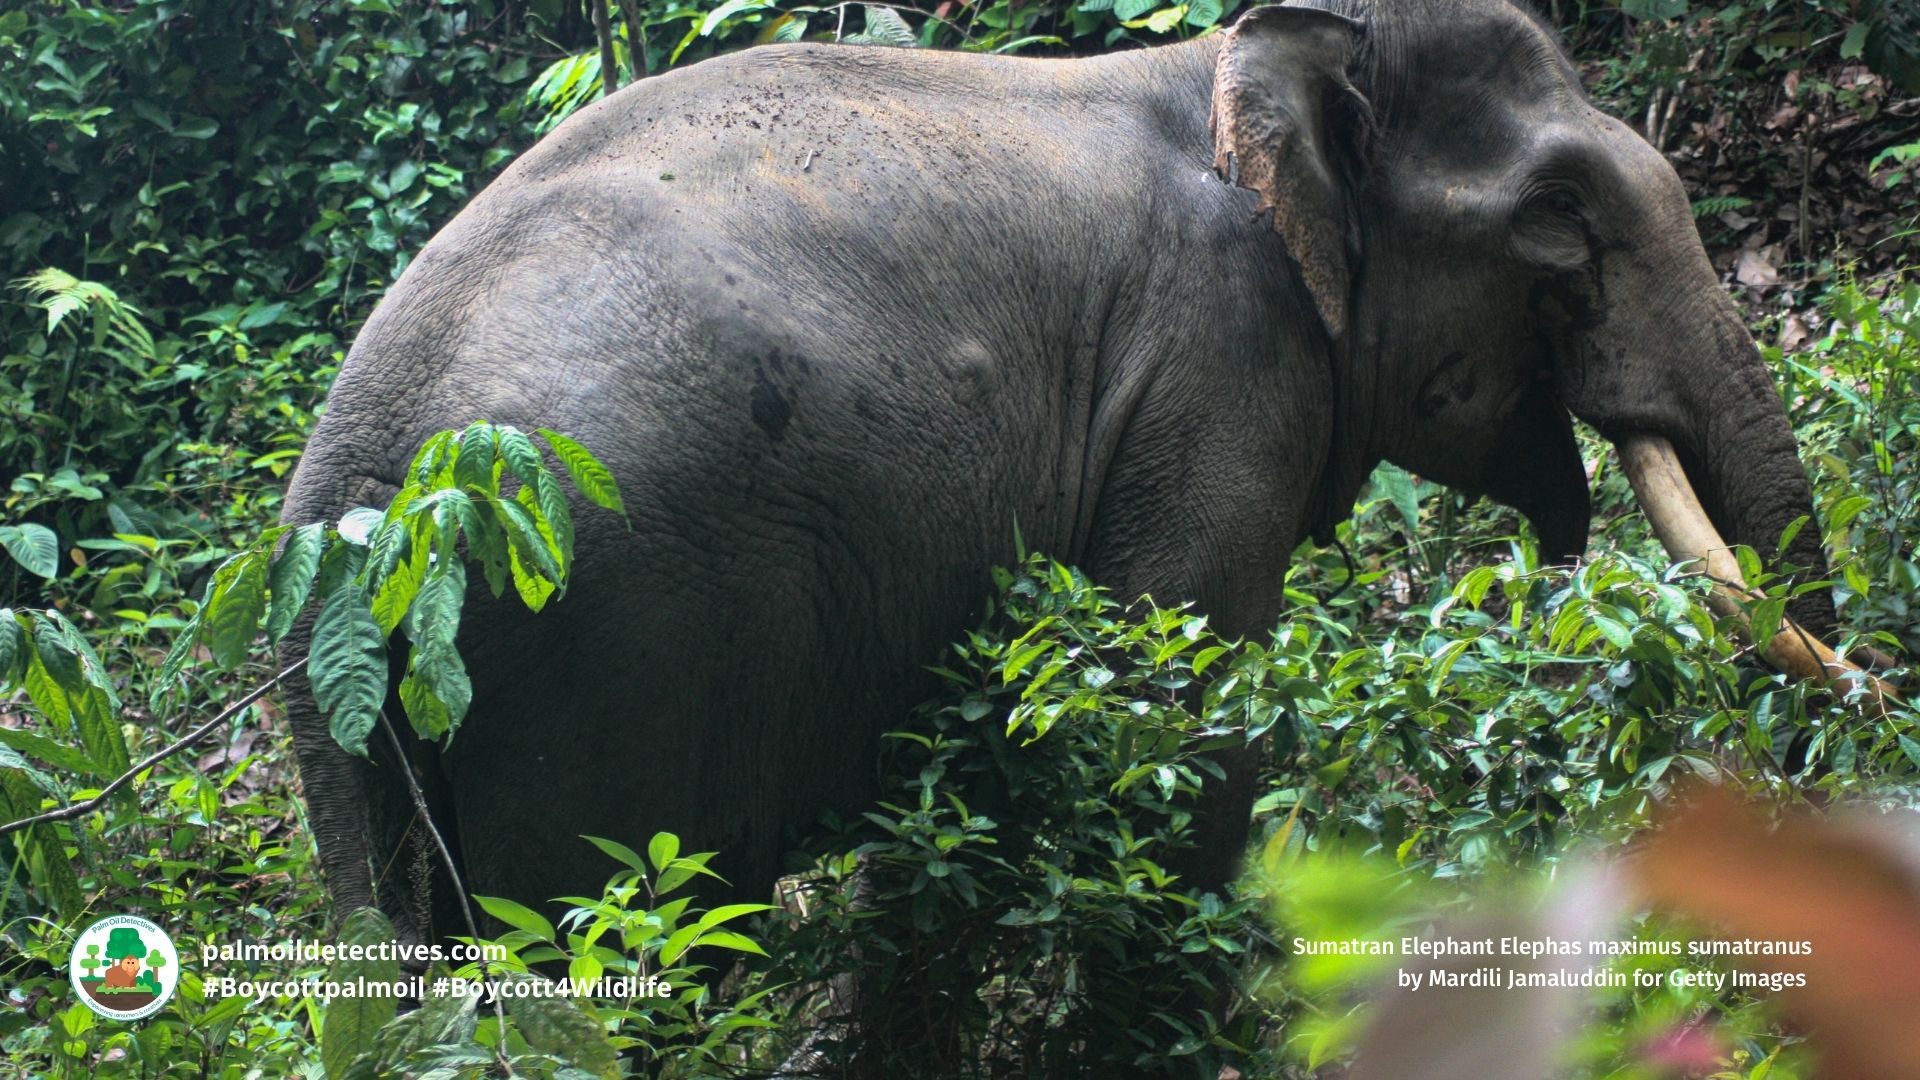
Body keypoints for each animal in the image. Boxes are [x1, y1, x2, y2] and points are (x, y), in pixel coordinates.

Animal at [281, 0, 1842, 963]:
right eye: (1559, 219)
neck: (1233, 60)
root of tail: (372, 486)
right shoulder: (1220, 356)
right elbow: (1186, 699)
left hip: (343, 707)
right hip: (613, 645)